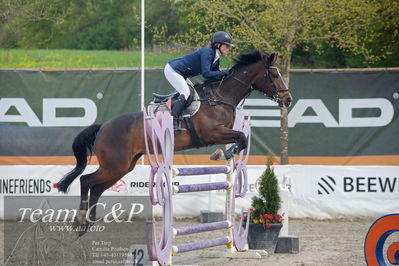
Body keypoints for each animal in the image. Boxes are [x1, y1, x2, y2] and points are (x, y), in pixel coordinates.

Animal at [55, 50, 294, 235]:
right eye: (274, 74)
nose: (288, 99)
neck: (219, 97)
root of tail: (103, 126)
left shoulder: (223, 131)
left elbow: (241, 139)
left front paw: (224, 154)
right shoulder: (212, 133)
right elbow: (241, 138)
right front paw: (222, 154)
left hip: (122, 167)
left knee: (96, 187)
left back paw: (86, 224)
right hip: (115, 165)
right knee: (86, 180)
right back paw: (80, 219)